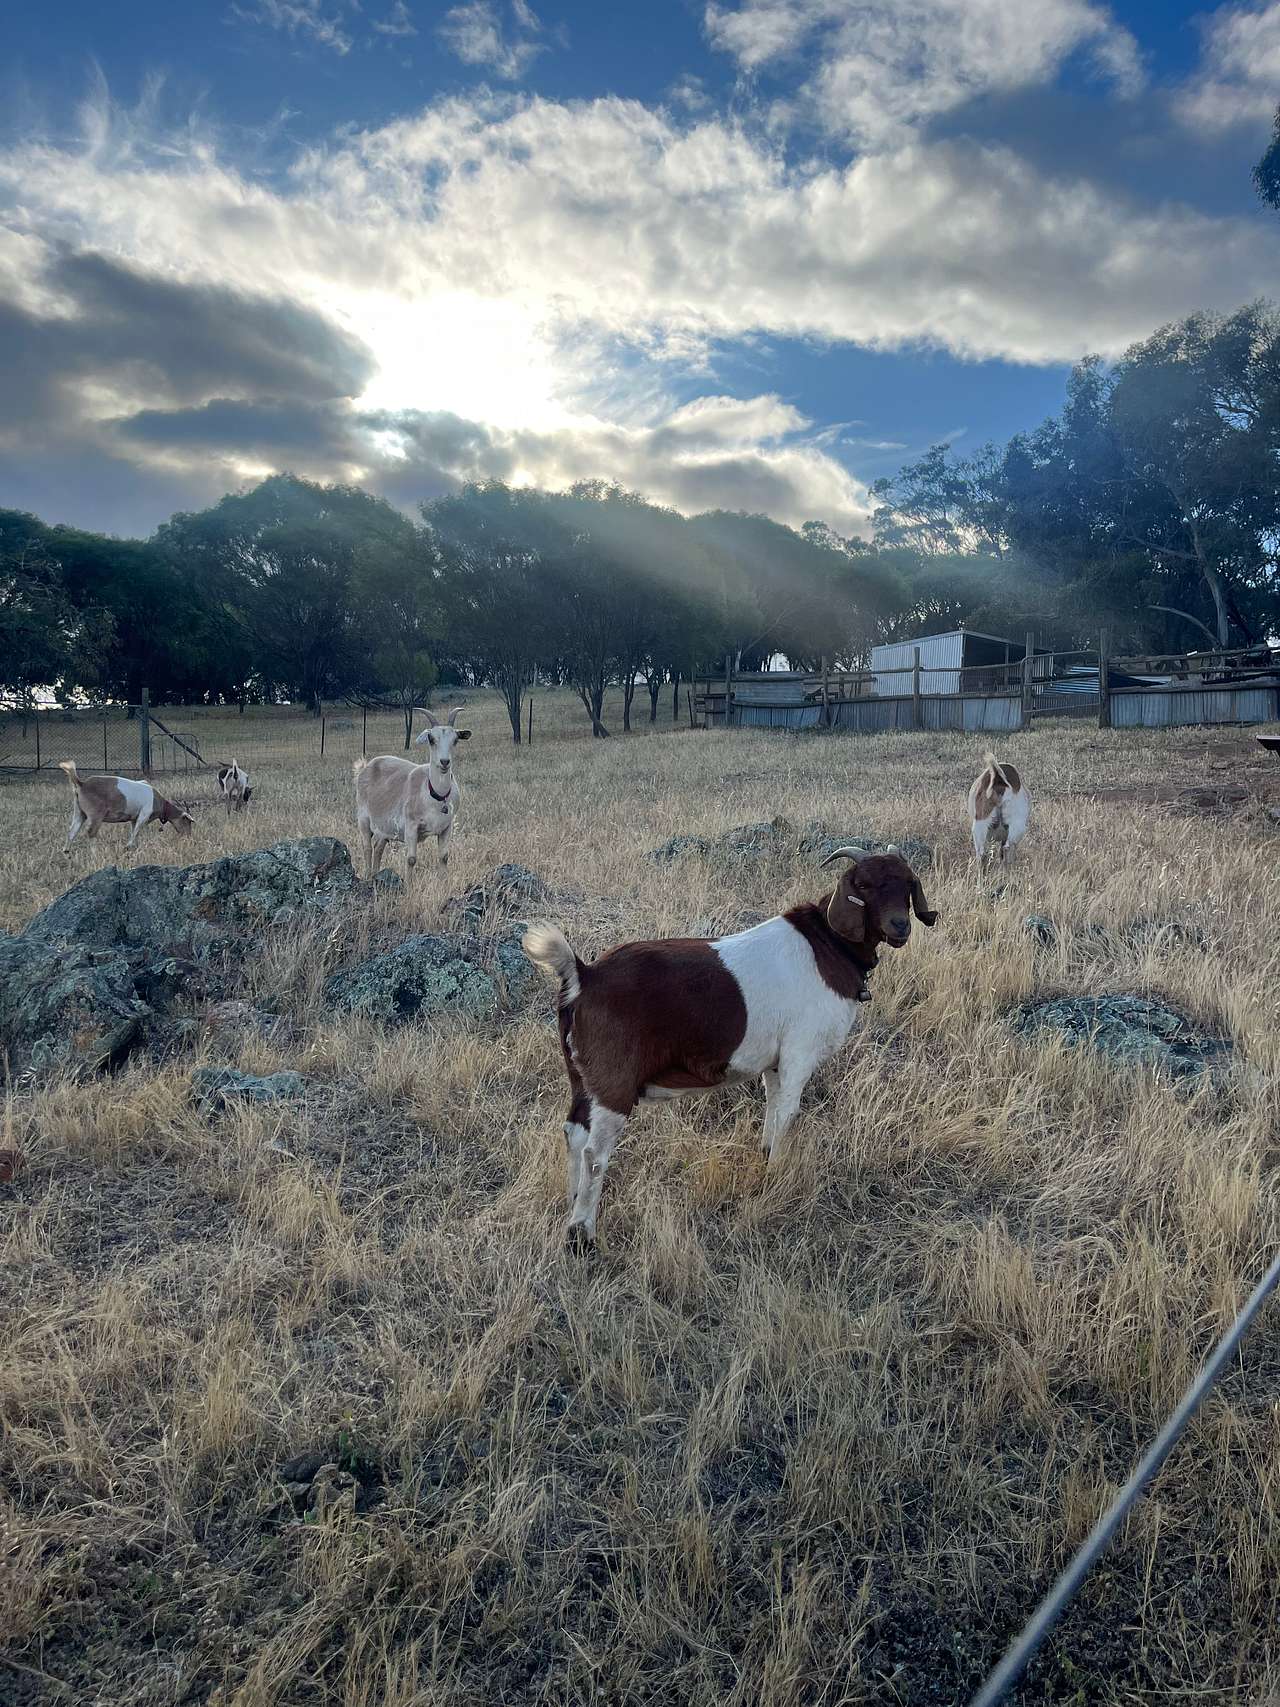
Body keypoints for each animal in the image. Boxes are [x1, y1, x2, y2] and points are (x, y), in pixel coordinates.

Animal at [59, 760, 195, 853]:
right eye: (187, 821)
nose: (188, 837)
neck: (159, 801)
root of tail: (82, 784)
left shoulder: (134, 819)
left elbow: (134, 831)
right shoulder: (143, 815)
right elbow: (136, 832)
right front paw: (128, 846)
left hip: (79, 812)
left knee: (72, 831)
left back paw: (66, 852)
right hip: (96, 815)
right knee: (91, 832)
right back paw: (94, 853)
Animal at [352, 707, 470, 876]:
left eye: (455, 740)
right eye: (431, 739)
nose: (444, 762)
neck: (435, 795)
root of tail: (365, 767)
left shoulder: (446, 827)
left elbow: (444, 857)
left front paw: (444, 879)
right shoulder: (411, 826)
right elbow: (411, 859)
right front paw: (408, 883)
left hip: (384, 827)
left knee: (378, 847)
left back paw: (375, 874)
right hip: (363, 818)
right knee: (367, 847)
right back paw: (368, 875)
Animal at [524, 847, 938, 1247]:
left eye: (907, 883)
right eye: (863, 885)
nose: (900, 926)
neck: (826, 946)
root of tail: (584, 976)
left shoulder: (775, 1063)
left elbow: (773, 1110)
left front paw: (767, 1158)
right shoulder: (799, 1053)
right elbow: (788, 1114)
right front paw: (776, 1177)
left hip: (581, 1076)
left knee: (574, 1133)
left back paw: (572, 1205)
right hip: (614, 1083)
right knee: (595, 1153)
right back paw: (581, 1234)